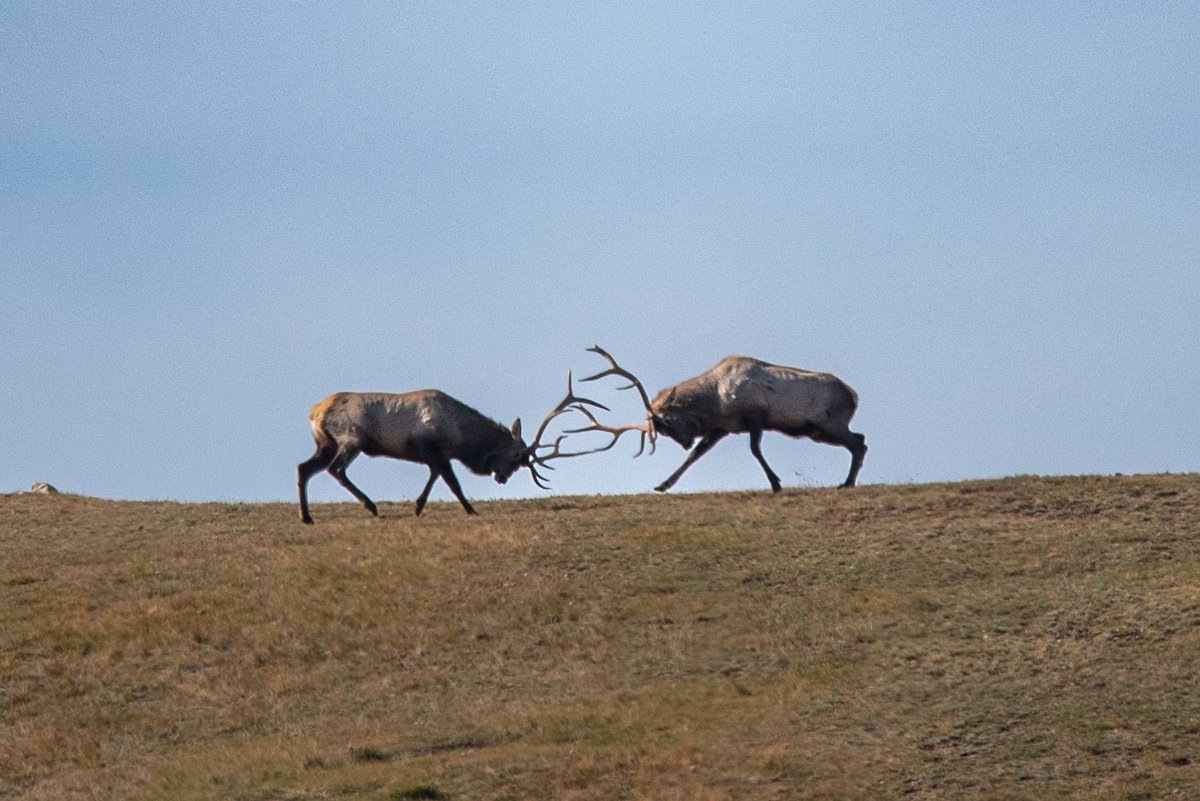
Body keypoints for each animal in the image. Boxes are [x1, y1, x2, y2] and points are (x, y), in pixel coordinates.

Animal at [297, 379, 603, 523]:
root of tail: (314, 412)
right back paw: (370, 506)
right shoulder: (428, 444)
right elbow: (444, 478)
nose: (501, 478)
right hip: (351, 439)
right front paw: (430, 506)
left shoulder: (438, 453)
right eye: (517, 456)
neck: (460, 435)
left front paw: (451, 508)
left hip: (326, 443)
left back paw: (307, 517)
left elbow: (444, 478)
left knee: (304, 468)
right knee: (335, 469)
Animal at [570, 346, 867, 494]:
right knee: (860, 441)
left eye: (666, 422)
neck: (716, 400)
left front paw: (775, 483)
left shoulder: (754, 416)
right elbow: (696, 457)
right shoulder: (721, 429)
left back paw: (847, 483)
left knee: (859, 443)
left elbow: (755, 449)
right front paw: (663, 484)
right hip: (820, 431)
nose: (685, 442)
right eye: (662, 430)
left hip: (827, 425)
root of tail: (853, 395)